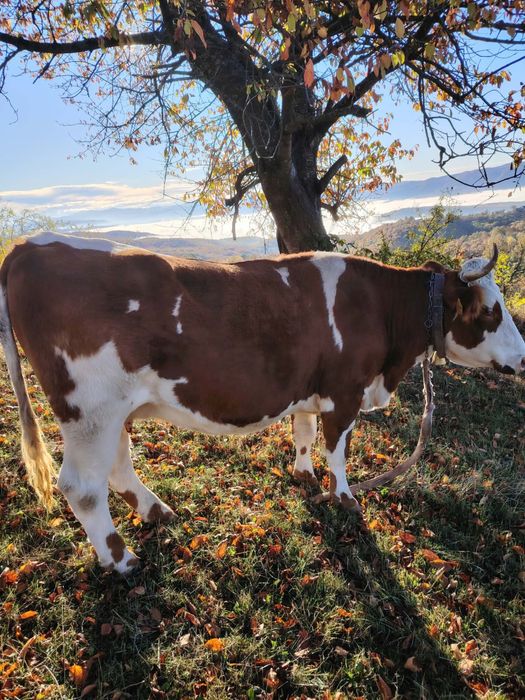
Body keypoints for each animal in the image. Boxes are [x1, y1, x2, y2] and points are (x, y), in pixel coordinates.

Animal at [1, 232, 524, 573]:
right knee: (82, 487)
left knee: (118, 464)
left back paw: (156, 511)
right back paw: (120, 556)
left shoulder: (311, 389)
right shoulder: (345, 392)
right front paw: (345, 499)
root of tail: (29, 246)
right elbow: (338, 450)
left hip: (114, 411)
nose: (522, 356)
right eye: (492, 312)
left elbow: (304, 432)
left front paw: (303, 475)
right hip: (90, 409)